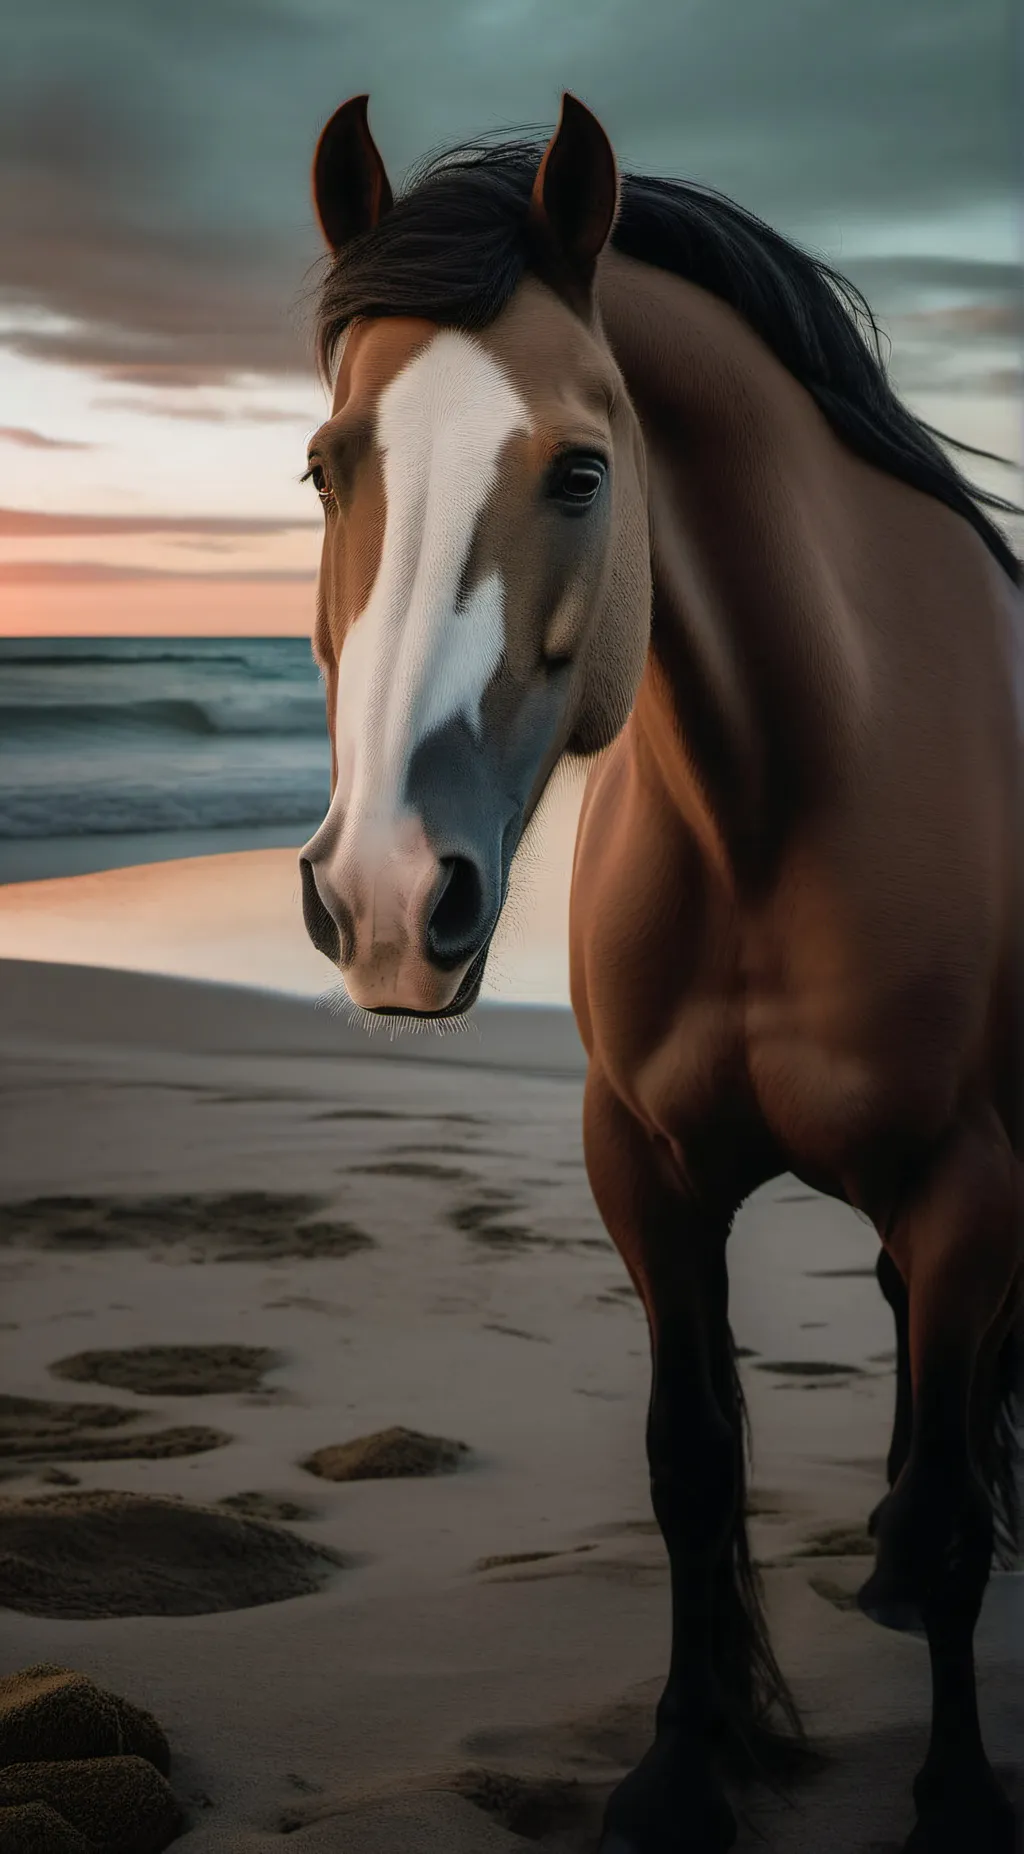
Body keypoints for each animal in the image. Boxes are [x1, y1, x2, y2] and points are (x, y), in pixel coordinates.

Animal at [297, 91, 1023, 1854]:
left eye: (580, 470)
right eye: (326, 466)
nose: (386, 898)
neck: (782, 804)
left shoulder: (973, 1184)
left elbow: (957, 1502)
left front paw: (955, 1799)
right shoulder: (643, 1163)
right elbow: (691, 1467)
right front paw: (687, 1764)